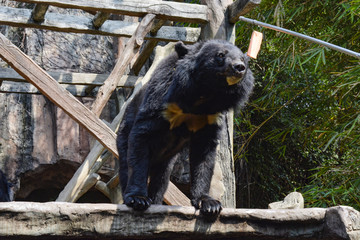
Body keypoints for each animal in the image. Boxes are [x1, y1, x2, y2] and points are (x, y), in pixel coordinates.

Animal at [116, 39, 255, 216]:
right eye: (220, 55)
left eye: (243, 59)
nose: (239, 67)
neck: (205, 93)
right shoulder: (164, 98)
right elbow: (143, 136)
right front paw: (138, 199)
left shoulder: (211, 116)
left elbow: (204, 153)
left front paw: (209, 203)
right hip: (123, 132)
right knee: (126, 165)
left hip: (167, 159)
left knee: (161, 178)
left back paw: (156, 201)